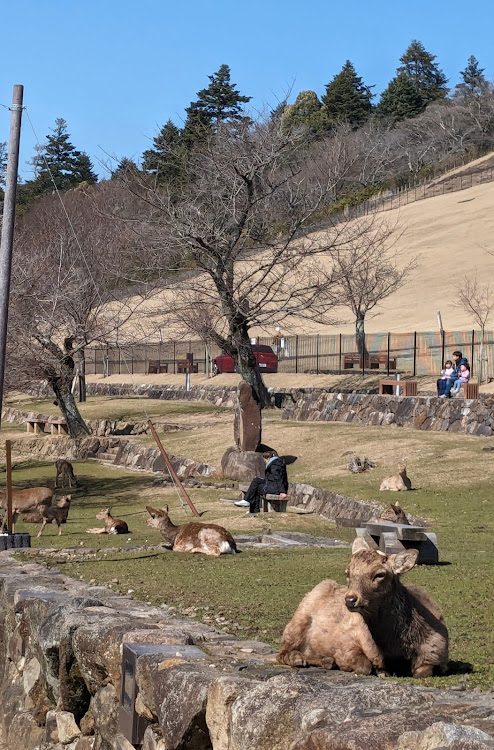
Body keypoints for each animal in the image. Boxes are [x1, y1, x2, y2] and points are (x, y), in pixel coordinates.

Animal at [278, 536, 448, 680]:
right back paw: (303, 658)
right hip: (298, 620)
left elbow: (423, 672)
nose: (350, 599)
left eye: (380, 574)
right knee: (282, 652)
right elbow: (364, 666)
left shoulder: (437, 655)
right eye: (348, 572)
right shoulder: (347, 644)